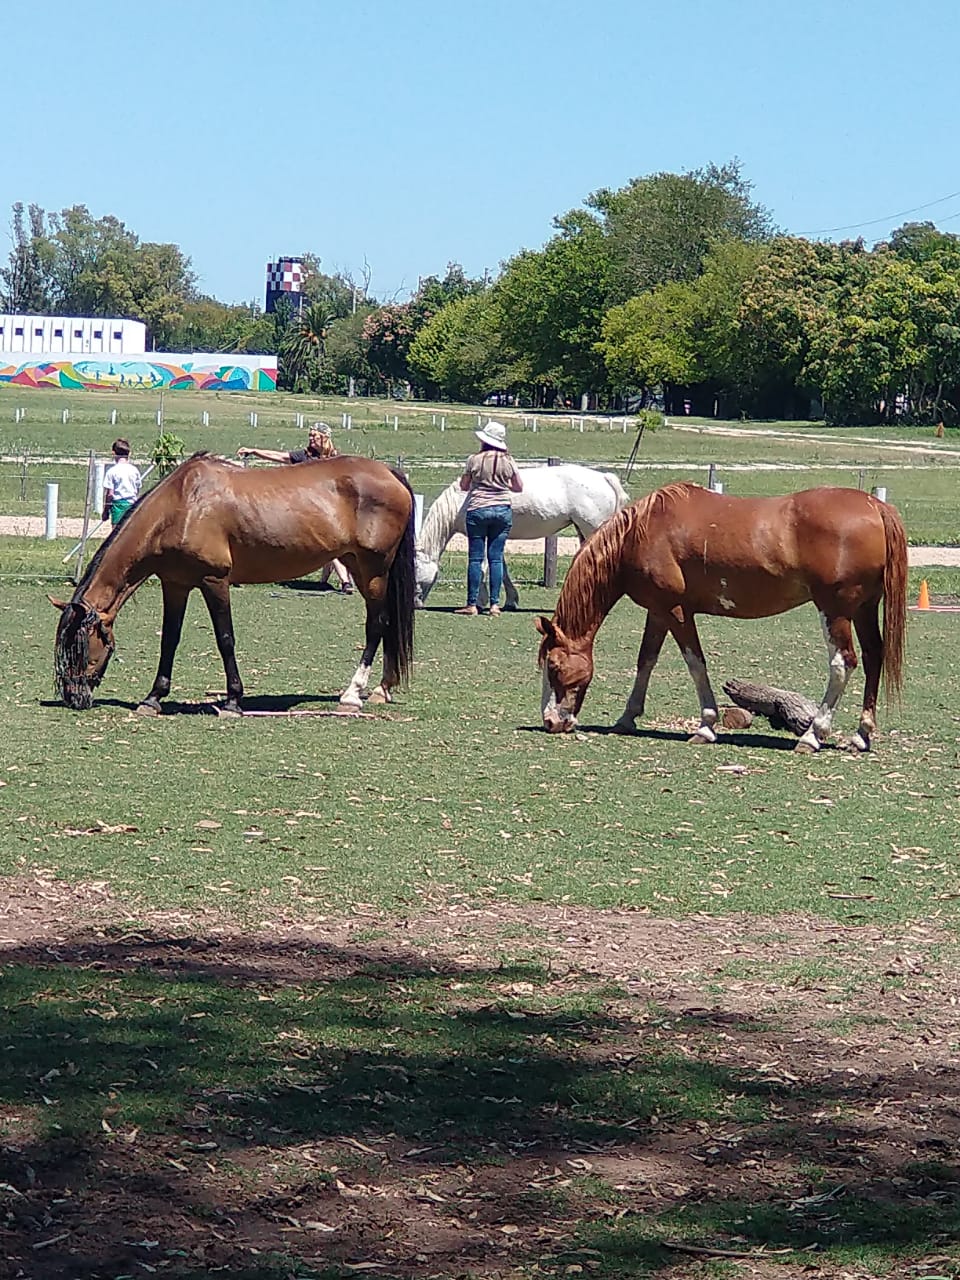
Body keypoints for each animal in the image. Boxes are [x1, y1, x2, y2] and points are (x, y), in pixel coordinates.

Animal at [52, 452, 416, 715]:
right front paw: (153, 698)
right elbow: (169, 639)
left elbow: (225, 639)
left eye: (81, 647)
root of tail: (390, 473)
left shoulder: (215, 581)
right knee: (384, 624)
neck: (181, 507)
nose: (73, 696)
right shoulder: (175, 584)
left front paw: (231, 701)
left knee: (376, 625)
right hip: (358, 566)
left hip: (374, 571)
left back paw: (352, 694)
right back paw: (382, 689)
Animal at [415, 464, 630, 608]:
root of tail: (605, 478)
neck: (462, 499)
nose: (416, 603)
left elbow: (483, 567)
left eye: (415, 570)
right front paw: (511, 600)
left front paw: (480, 602)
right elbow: (501, 568)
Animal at [536, 483, 907, 753]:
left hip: (835, 610)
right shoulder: (658, 611)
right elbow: (646, 660)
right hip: (863, 608)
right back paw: (861, 735)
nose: (551, 722)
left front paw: (706, 726)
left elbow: (695, 663)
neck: (639, 534)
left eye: (553, 666)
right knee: (874, 656)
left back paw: (813, 736)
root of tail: (875, 506)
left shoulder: (677, 611)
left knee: (843, 663)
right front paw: (627, 717)